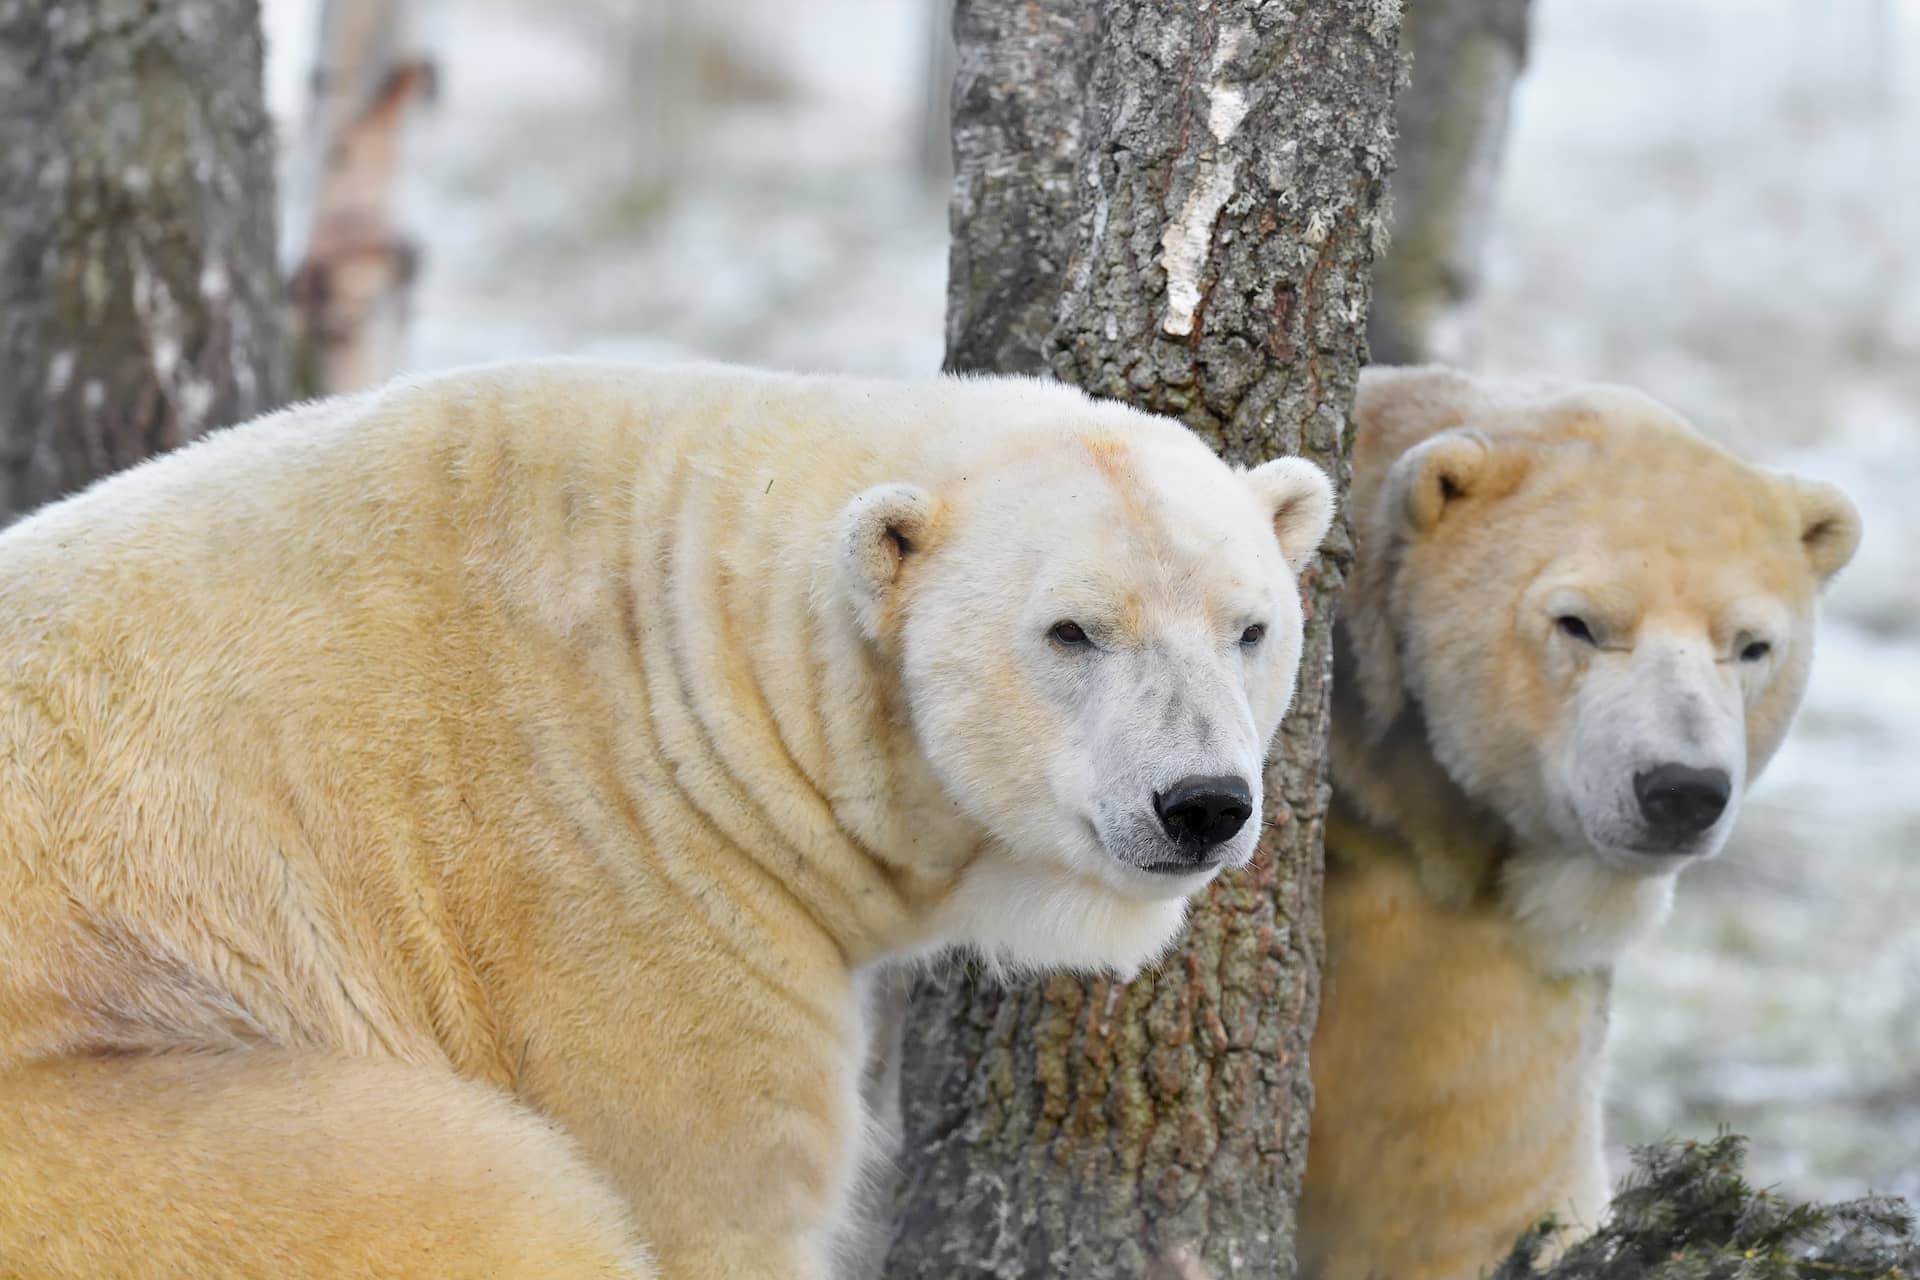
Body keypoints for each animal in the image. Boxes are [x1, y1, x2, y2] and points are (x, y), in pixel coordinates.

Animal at [0, 359, 1335, 1280]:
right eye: (1071, 630)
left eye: (1250, 625)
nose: (1201, 802)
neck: (695, 654)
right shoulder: (628, 891)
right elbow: (713, 1193)